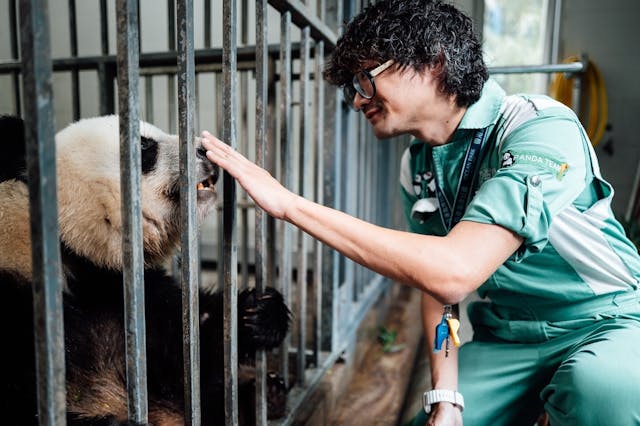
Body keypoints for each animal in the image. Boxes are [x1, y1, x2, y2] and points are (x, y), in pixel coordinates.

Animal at [0, 115, 290, 424]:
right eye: (144, 147)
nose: (203, 150)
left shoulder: (121, 288)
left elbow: (186, 344)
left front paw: (258, 313)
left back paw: (264, 393)